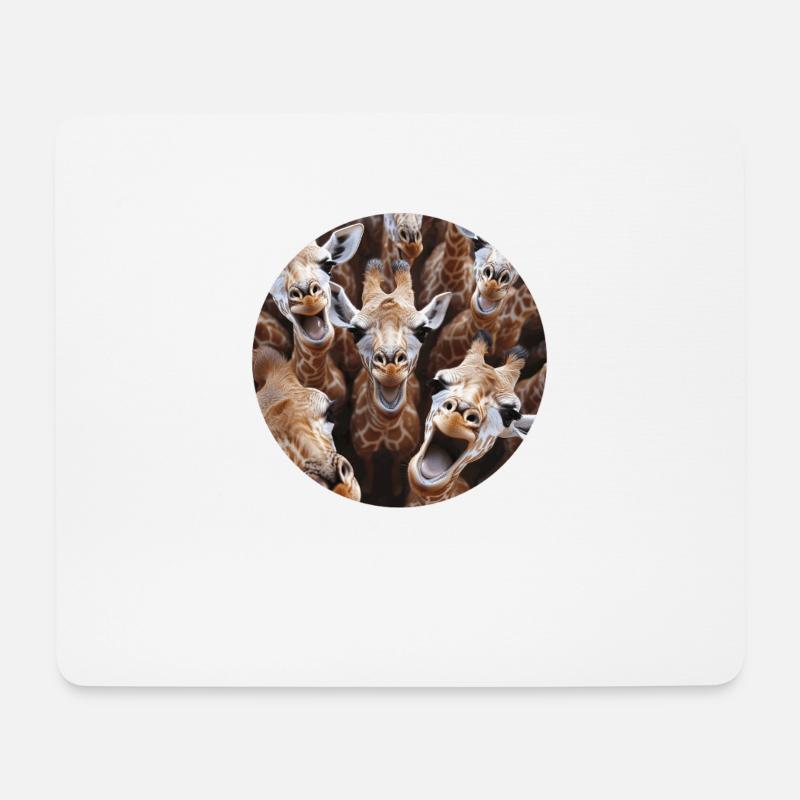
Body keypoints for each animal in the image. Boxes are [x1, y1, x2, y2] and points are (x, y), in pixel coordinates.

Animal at [328, 258, 451, 498]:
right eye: (355, 331)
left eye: (422, 331)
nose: (391, 367)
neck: (384, 428)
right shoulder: (364, 451)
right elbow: (368, 467)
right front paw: (368, 488)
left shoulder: (403, 452)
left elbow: (395, 467)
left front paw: (395, 490)